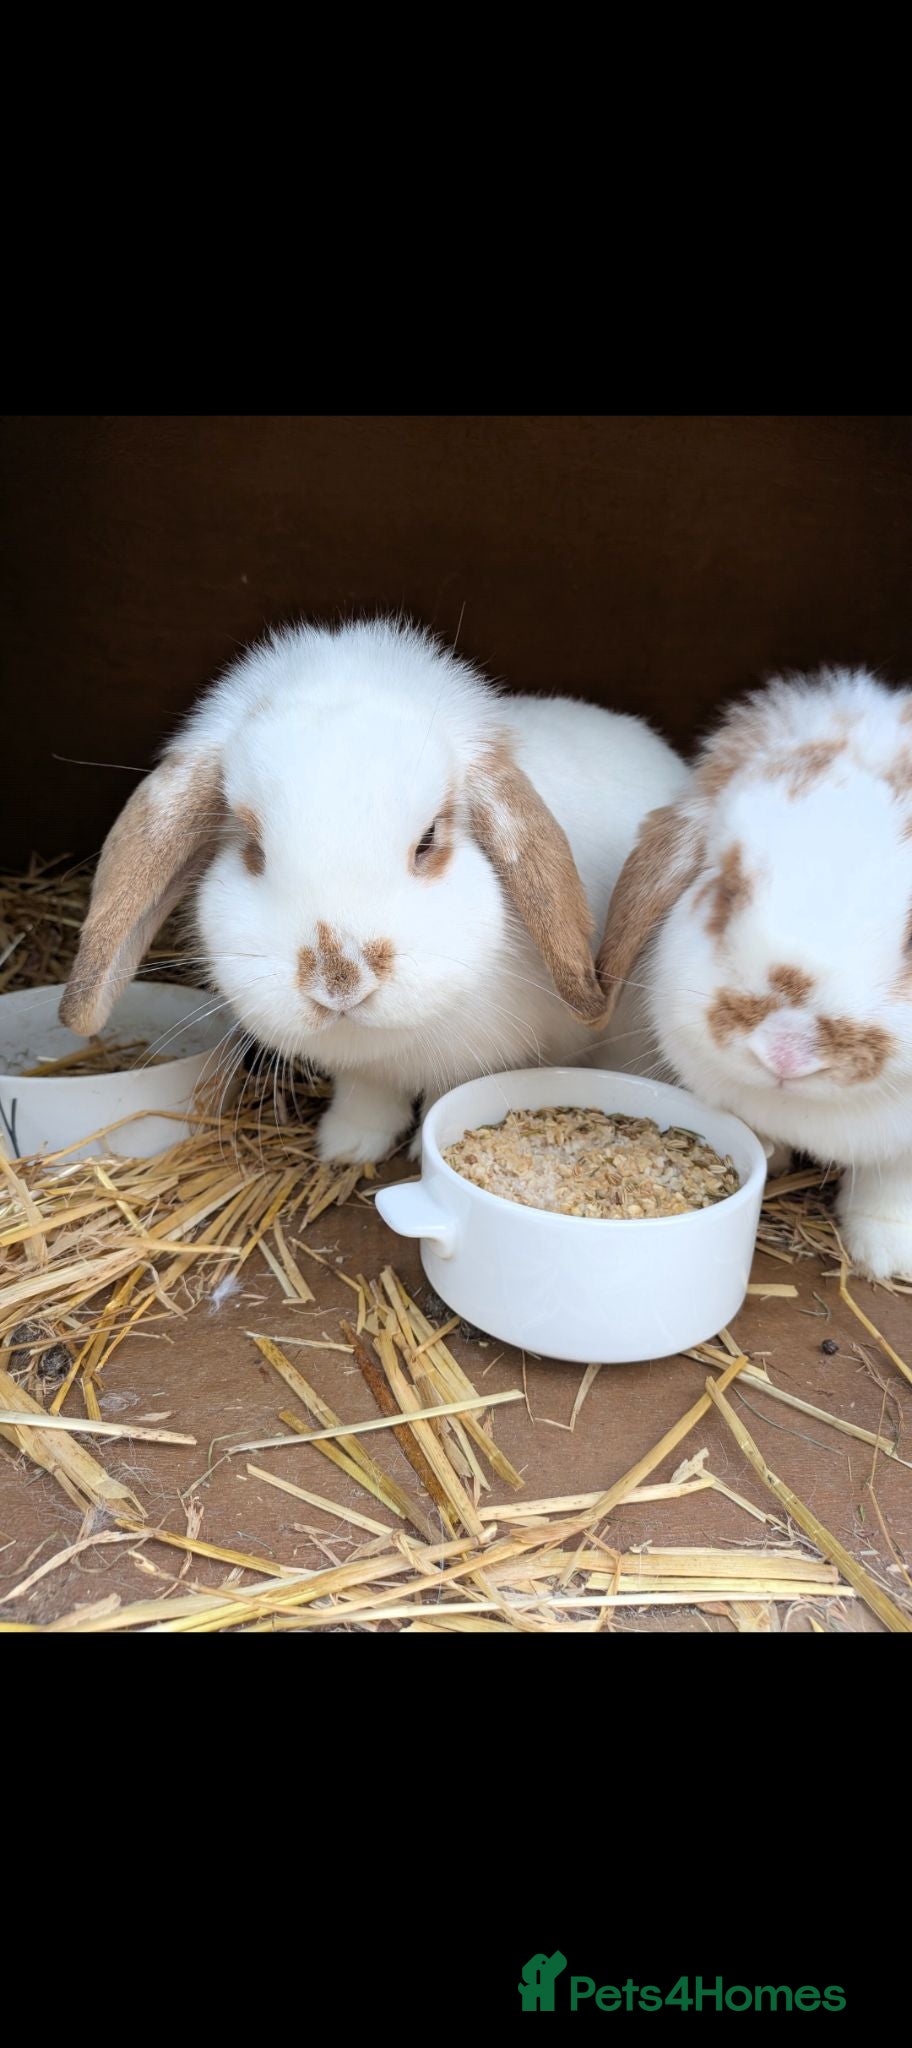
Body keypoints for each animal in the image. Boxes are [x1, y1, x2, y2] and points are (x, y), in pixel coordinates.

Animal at [61, 617, 688, 1163]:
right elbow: (365, 1094)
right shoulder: (363, 1072)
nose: (340, 981)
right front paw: (347, 1149)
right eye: (254, 849)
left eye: (428, 839)